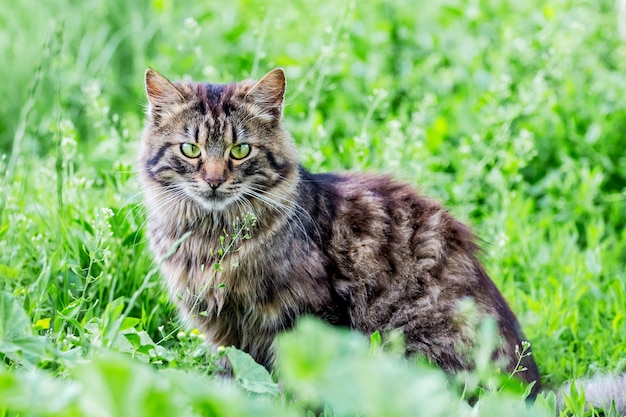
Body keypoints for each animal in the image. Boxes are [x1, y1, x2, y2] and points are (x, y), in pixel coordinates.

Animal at [138, 67, 540, 394]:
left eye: (240, 150)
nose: (214, 181)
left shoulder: (308, 317)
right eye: (190, 150)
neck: (213, 236)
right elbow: (236, 380)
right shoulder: (226, 333)